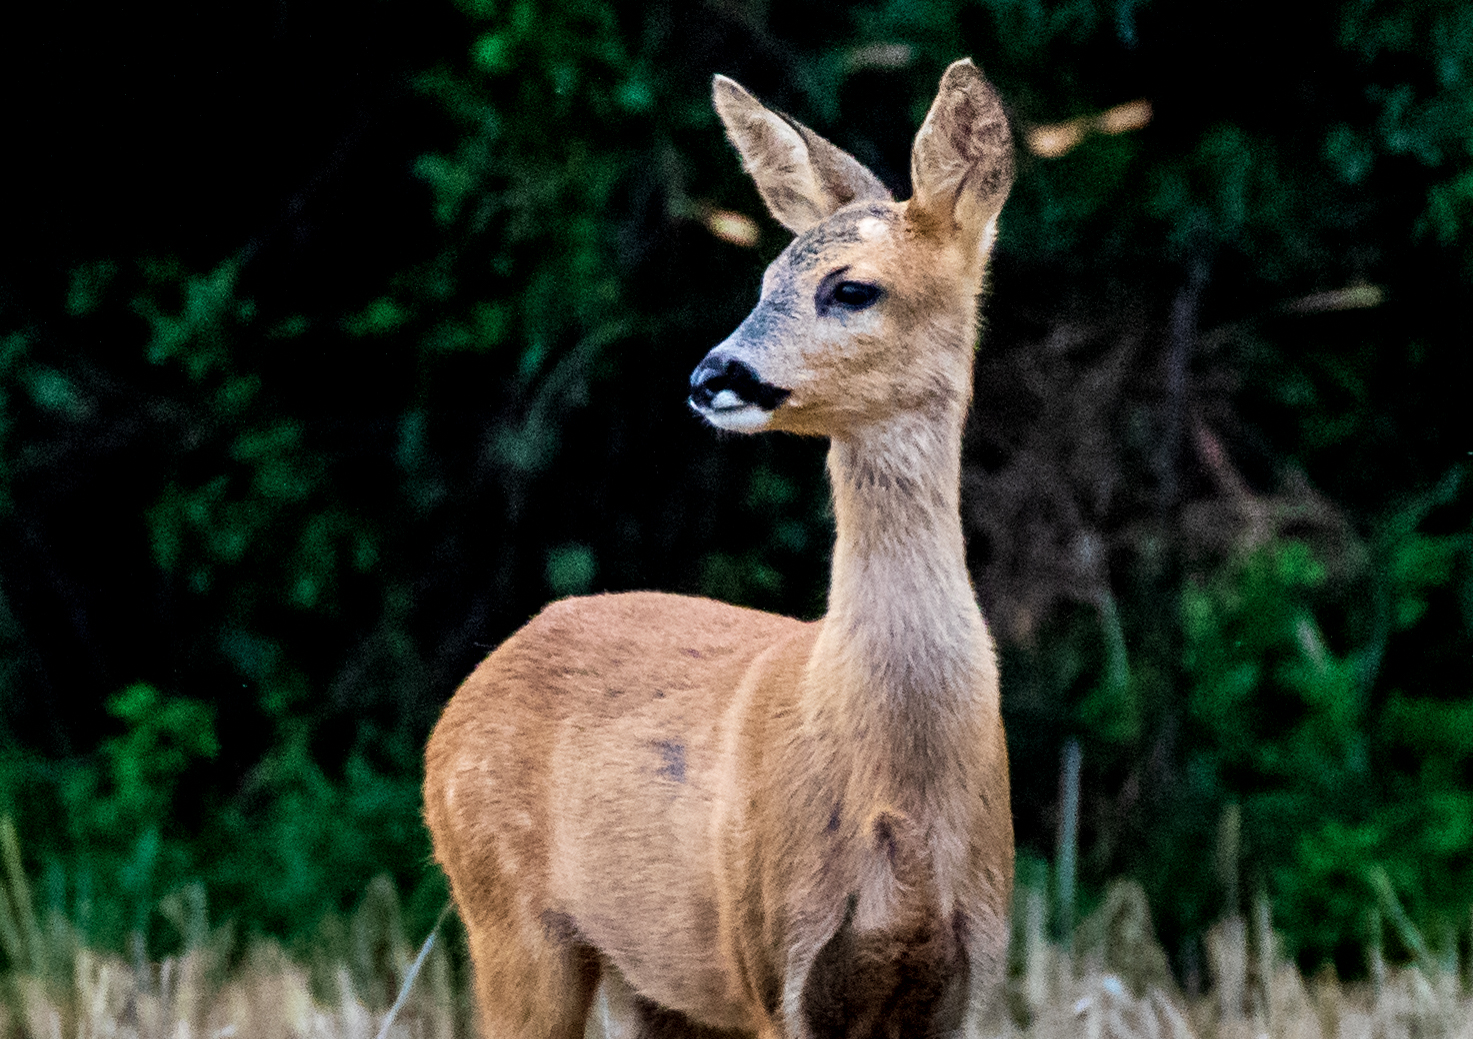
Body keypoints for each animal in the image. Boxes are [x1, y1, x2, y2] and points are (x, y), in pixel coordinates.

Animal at [430, 58, 1013, 1037]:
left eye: (851, 288)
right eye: (765, 278)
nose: (712, 377)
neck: (899, 795)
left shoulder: (966, 978)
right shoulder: (772, 958)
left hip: (658, 982)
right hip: (507, 917)